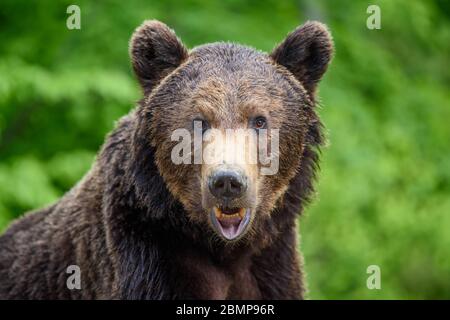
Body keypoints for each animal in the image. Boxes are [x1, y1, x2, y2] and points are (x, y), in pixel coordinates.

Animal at [0, 20, 330, 300]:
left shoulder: (272, 263)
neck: (222, 248)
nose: (227, 182)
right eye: (199, 121)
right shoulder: (146, 255)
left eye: (259, 120)